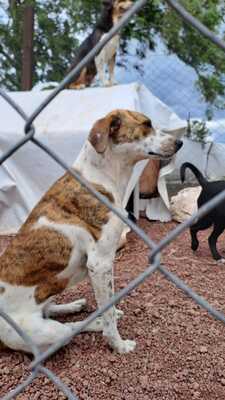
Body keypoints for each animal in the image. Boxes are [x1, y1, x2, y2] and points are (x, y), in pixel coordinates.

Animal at [0, 109, 182, 354]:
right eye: (146, 124)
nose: (180, 142)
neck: (101, 177)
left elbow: (110, 306)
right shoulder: (100, 263)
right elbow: (108, 313)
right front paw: (118, 344)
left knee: (51, 310)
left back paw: (72, 306)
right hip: (50, 333)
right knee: (69, 328)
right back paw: (93, 322)